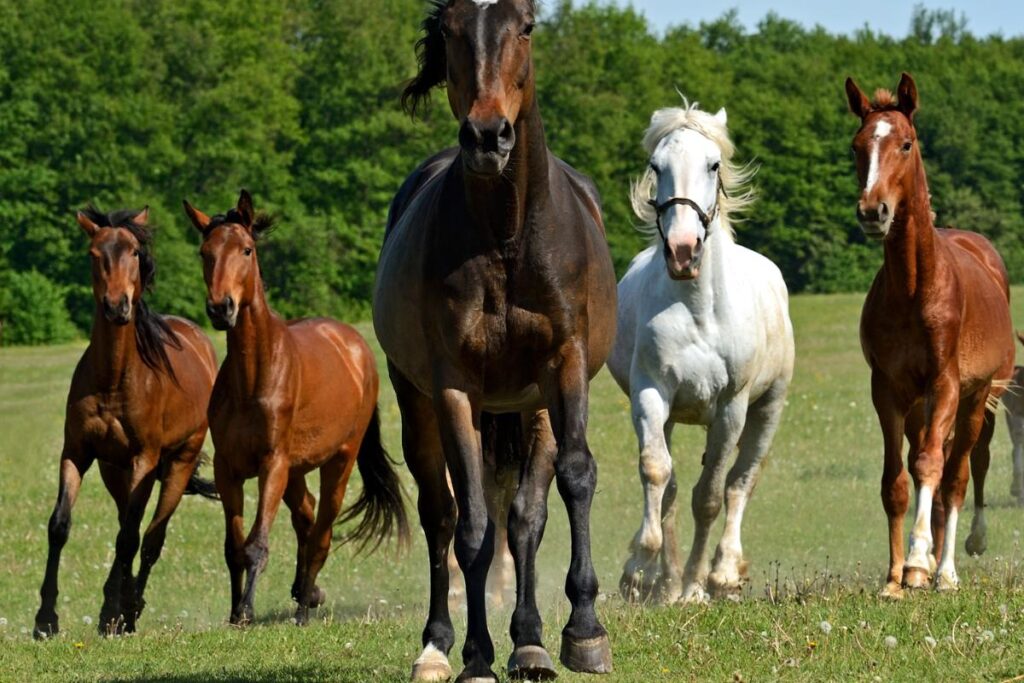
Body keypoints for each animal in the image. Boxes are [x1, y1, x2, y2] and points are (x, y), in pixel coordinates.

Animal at [35, 205, 218, 638]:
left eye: (134, 252)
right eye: (93, 253)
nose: (117, 307)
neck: (114, 379)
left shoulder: (143, 460)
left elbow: (131, 540)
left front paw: (122, 613)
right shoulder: (78, 453)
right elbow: (60, 526)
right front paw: (46, 619)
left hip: (175, 464)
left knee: (149, 538)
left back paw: (129, 610)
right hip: (114, 471)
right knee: (127, 528)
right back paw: (113, 608)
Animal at [184, 189, 407, 626]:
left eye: (247, 249)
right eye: (204, 251)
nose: (221, 308)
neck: (254, 376)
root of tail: (357, 347)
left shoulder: (273, 464)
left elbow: (256, 543)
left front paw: (247, 610)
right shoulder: (227, 469)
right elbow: (233, 547)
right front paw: (234, 612)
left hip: (339, 461)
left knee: (321, 531)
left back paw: (304, 605)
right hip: (298, 470)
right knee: (306, 516)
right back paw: (307, 591)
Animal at [376, 2, 614, 679]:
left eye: (526, 26)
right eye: (450, 31)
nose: (487, 136)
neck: (508, 234)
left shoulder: (563, 364)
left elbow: (573, 478)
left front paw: (583, 630)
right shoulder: (455, 387)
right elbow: (472, 525)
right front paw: (477, 654)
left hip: (530, 406)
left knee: (527, 517)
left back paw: (530, 639)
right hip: (419, 403)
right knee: (442, 514)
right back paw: (437, 645)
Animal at [606, 101, 798, 602]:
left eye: (713, 165)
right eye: (656, 166)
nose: (682, 250)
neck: (697, 309)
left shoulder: (731, 408)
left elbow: (710, 496)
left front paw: (696, 586)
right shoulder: (651, 394)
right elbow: (657, 474)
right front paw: (643, 572)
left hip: (767, 411)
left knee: (740, 482)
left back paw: (722, 573)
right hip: (674, 415)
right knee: (672, 489)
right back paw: (667, 582)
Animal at [843, 73, 1011, 598]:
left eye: (905, 143)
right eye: (858, 145)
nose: (872, 211)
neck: (915, 288)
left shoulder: (946, 384)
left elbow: (932, 467)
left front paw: (919, 563)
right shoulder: (887, 389)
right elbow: (896, 481)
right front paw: (894, 577)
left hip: (978, 398)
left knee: (959, 473)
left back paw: (948, 568)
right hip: (920, 406)